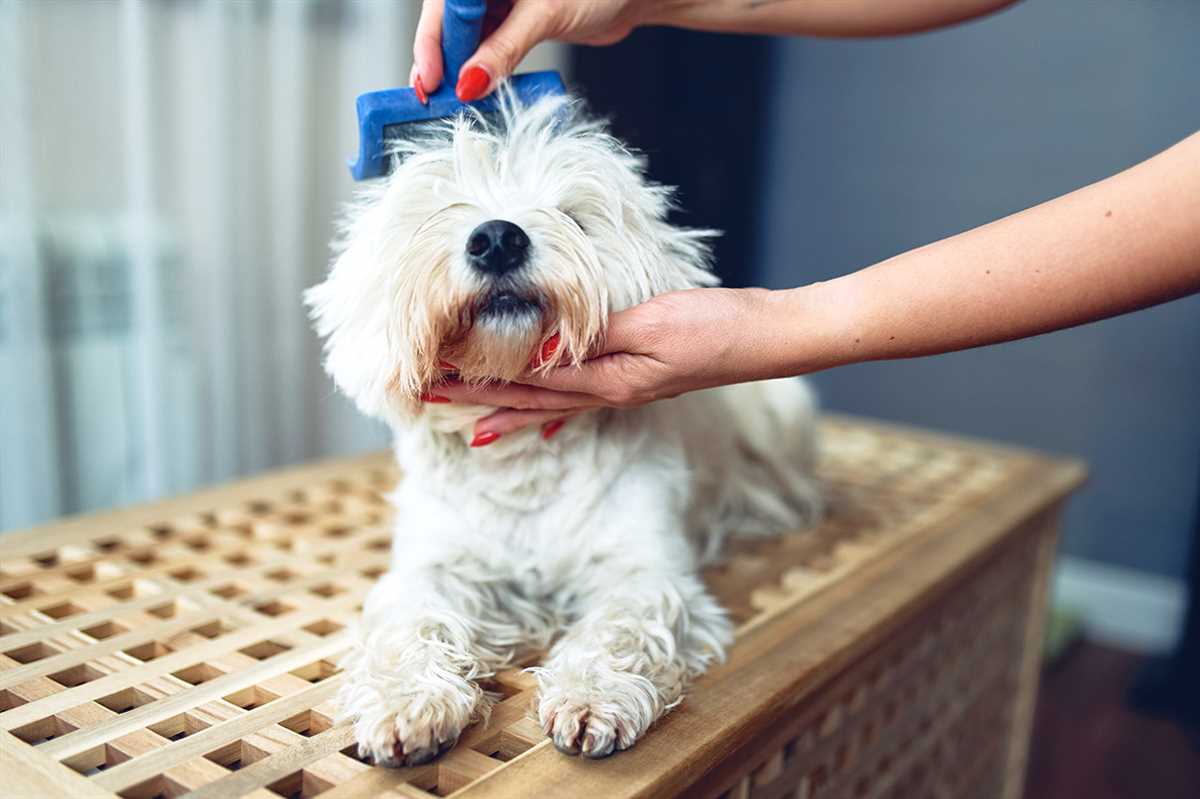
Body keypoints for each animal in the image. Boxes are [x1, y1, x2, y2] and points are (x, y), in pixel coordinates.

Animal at [304, 89, 820, 763]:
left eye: (573, 215)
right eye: (439, 210)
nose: (497, 237)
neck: (523, 460)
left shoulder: (646, 569)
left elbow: (621, 626)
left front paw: (591, 699)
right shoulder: (432, 566)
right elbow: (412, 622)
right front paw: (406, 704)